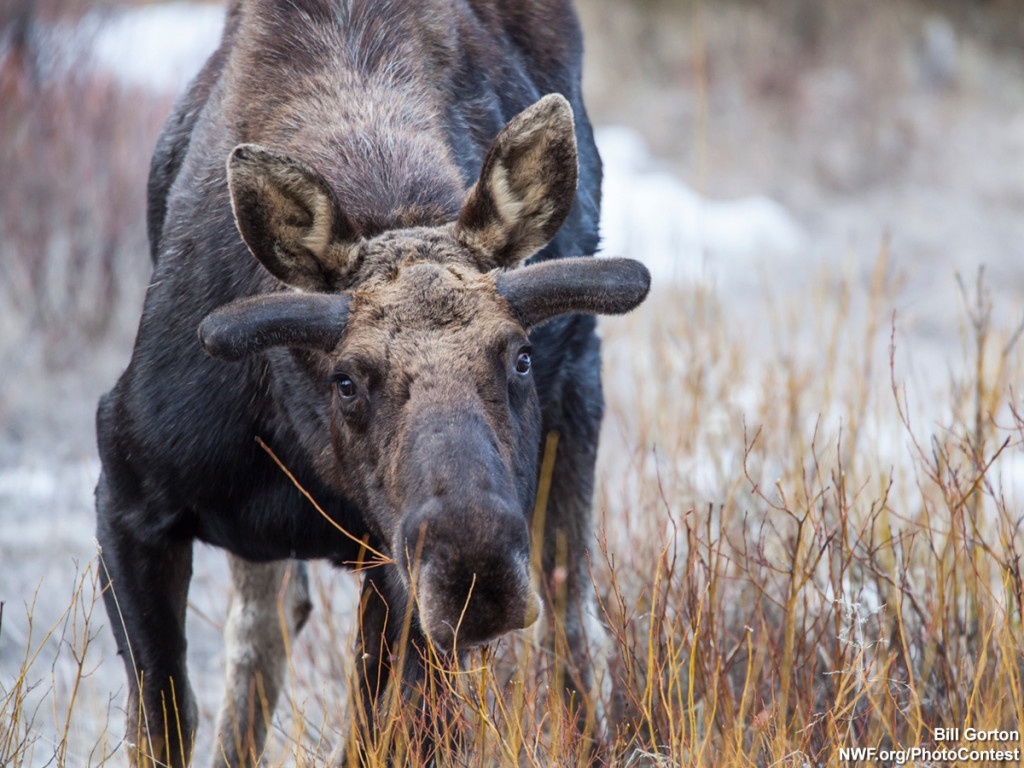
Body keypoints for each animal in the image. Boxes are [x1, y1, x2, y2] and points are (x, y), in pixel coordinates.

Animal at [94, 1, 647, 768]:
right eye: (348, 379)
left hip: (573, 426)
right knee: (263, 628)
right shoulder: (129, 496)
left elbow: (388, 733)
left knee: (572, 633)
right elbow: (162, 719)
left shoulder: (395, 575)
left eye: (520, 357)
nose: (476, 573)